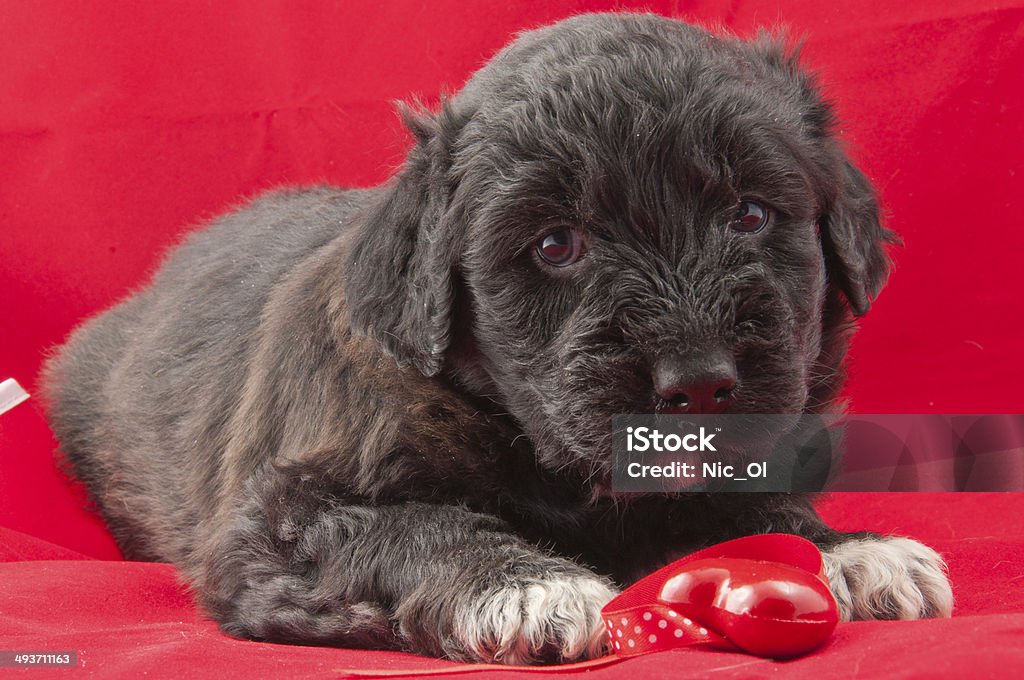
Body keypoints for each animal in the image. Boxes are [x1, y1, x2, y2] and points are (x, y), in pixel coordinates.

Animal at [39, 11, 950, 663]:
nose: (697, 381)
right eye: (555, 244)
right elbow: (401, 527)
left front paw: (849, 549)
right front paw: (525, 586)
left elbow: (751, 498)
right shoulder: (275, 519)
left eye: (750, 214)